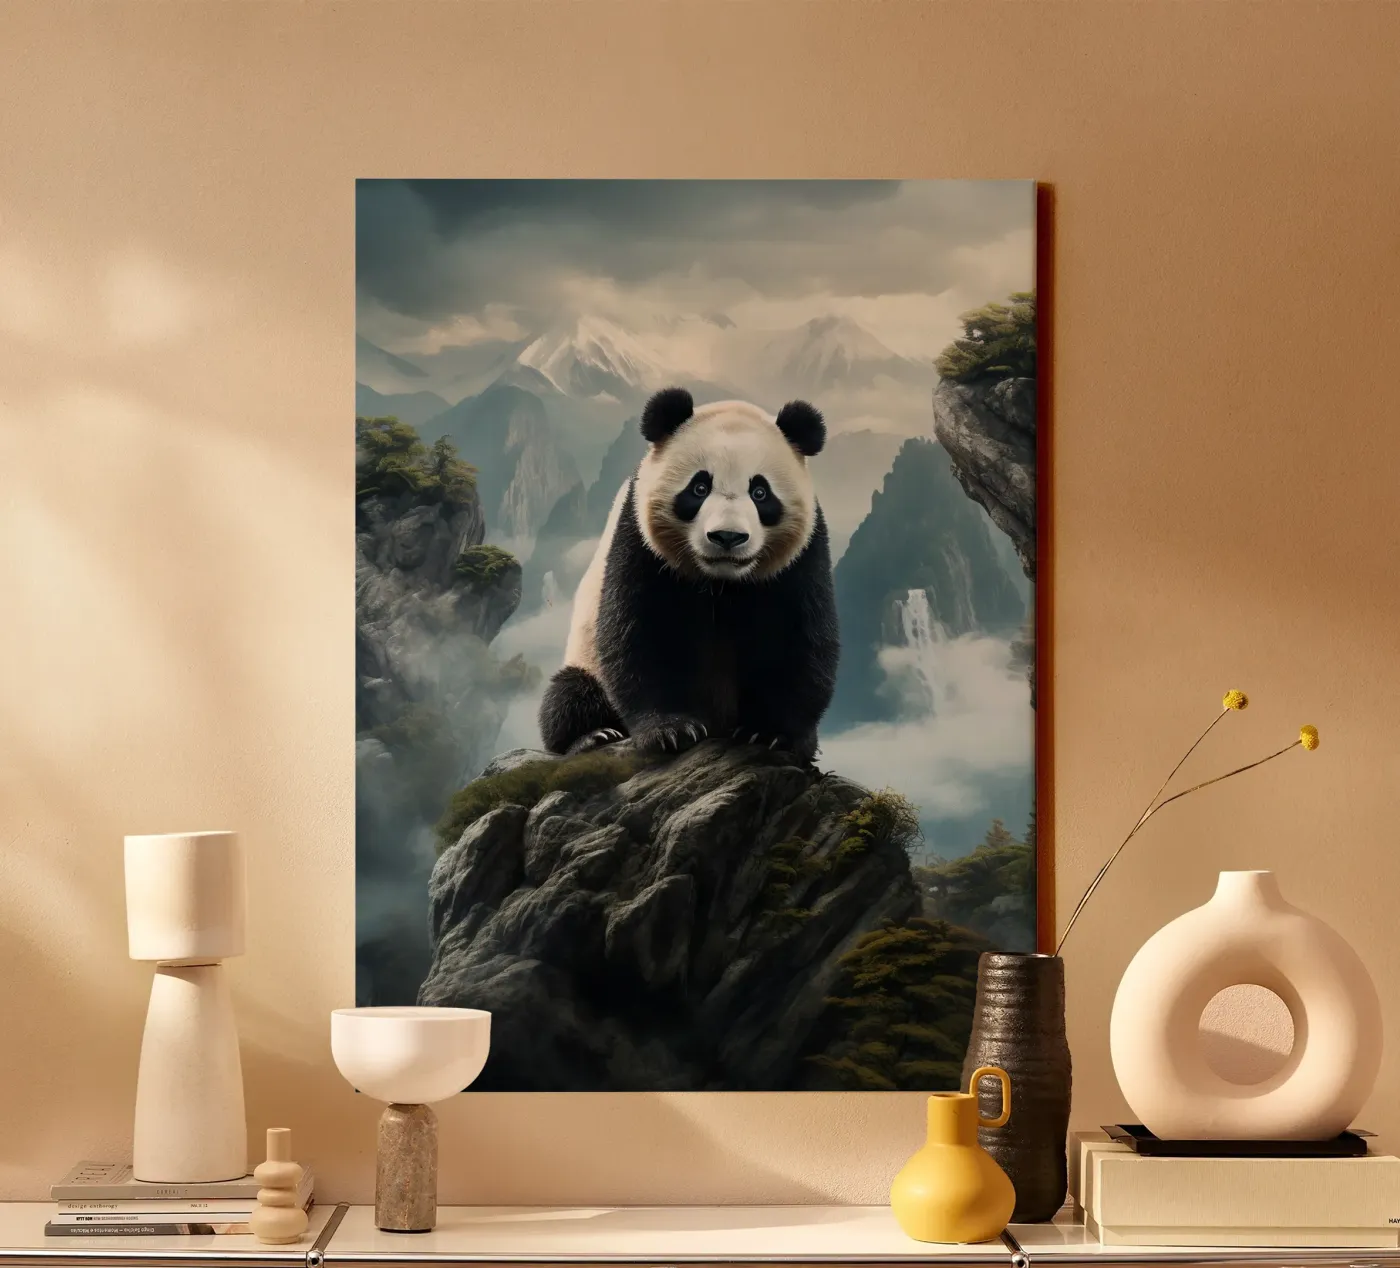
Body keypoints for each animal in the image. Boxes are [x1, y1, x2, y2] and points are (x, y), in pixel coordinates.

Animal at [538, 386, 840, 764]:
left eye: (760, 492)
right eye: (699, 488)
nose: (727, 537)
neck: (721, 583)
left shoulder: (802, 556)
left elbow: (799, 636)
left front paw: (772, 733)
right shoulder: (639, 540)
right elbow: (638, 630)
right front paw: (670, 730)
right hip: (585, 659)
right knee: (569, 694)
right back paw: (592, 736)